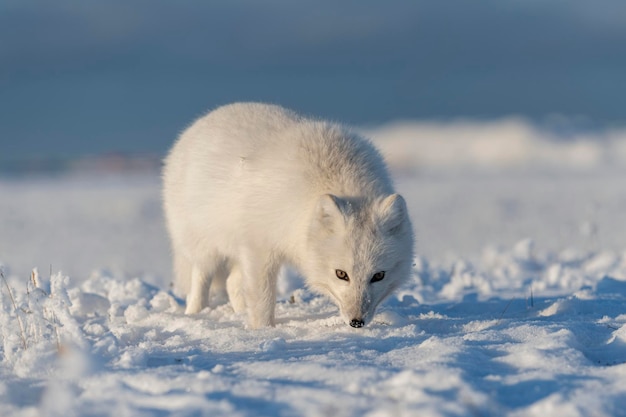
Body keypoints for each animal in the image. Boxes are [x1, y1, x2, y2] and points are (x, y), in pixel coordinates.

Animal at [163, 102, 412, 326]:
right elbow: (263, 299)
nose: (357, 322)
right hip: (205, 246)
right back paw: (195, 314)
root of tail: (203, 120)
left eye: (378, 276)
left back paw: (240, 313)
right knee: (201, 281)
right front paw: (263, 331)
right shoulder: (259, 247)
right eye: (341, 274)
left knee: (232, 284)